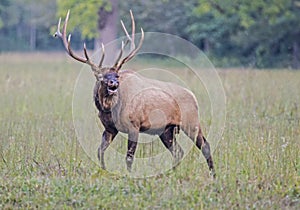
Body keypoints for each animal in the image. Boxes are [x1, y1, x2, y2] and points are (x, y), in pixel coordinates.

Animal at [55, 10, 214, 177]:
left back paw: (213, 175)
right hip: (166, 130)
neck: (109, 109)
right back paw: (171, 173)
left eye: (117, 75)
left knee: (205, 145)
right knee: (178, 151)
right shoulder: (110, 128)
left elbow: (129, 157)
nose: (113, 83)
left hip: (191, 122)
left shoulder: (134, 126)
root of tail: (194, 97)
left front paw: (129, 176)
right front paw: (104, 170)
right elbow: (99, 151)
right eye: (101, 77)